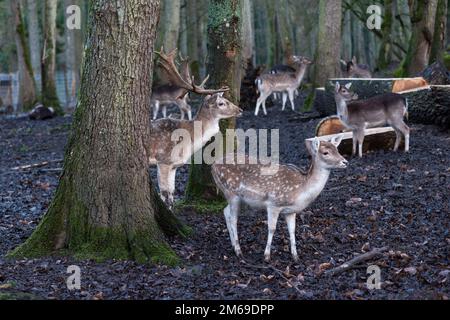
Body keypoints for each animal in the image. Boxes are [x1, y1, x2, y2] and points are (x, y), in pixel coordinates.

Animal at [150, 47, 243, 208]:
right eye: (221, 103)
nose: (240, 110)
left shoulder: (174, 165)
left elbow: (172, 193)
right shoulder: (163, 160)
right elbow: (165, 194)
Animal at [211, 136, 348, 262]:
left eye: (337, 149)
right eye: (325, 152)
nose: (345, 162)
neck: (300, 190)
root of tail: (212, 166)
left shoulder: (291, 211)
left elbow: (292, 230)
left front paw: (295, 256)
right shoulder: (273, 203)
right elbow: (272, 228)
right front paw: (266, 256)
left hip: (235, 196)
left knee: (226, 211)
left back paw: (233, 245)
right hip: (231, 191)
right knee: (233, 219)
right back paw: (239, 251)